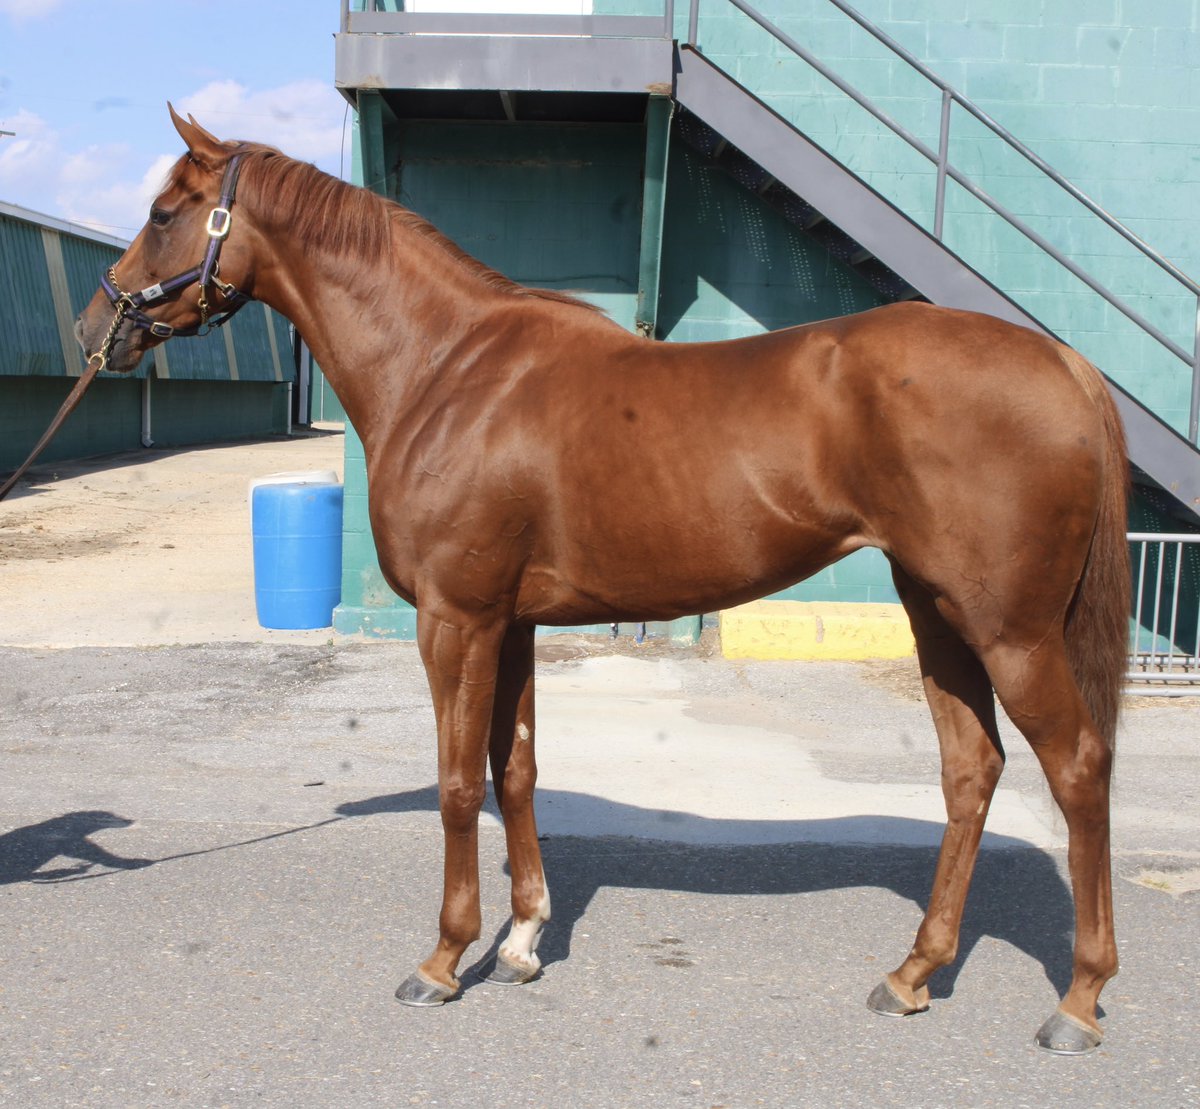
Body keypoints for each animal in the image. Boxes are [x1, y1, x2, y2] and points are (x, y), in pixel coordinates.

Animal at [75, 107, 1129, 1055]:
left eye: (166, 211)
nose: (98, 322)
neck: (445, 368)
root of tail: (1067, 362)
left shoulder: (457, 620)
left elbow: (457, 782)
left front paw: (445, 959)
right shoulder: (512, 624)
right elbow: (516, 768)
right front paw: (524, 940)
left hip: (1010, 630)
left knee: (1078, 767)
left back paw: (1079, 1001)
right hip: (937, 614)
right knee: (972, 768)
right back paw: (913, 972)